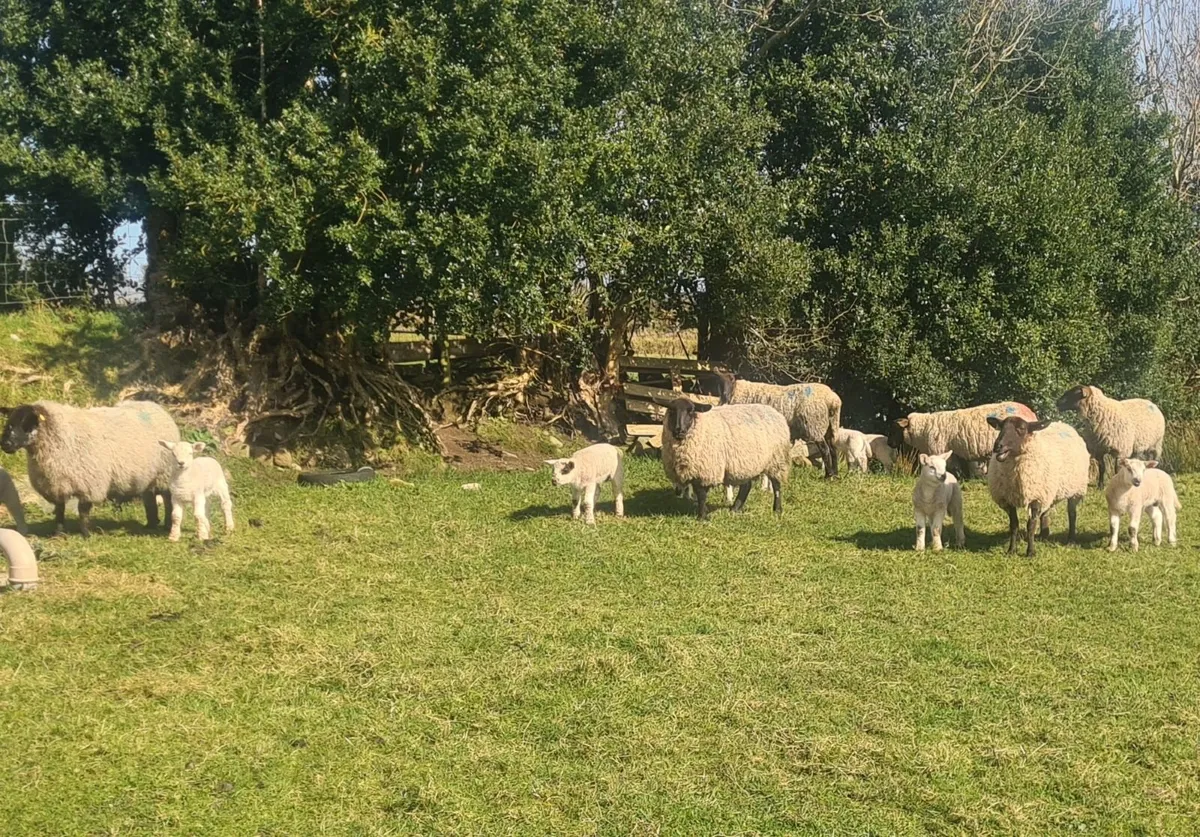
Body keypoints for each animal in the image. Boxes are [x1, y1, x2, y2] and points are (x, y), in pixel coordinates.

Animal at [0, 399, 180, 537]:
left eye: (27, 423)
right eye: (9, 423)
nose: (5, 444)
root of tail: (155, 406)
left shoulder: (89, 484)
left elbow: (83, 511)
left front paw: (86, 534)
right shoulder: (56, 484)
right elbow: (59, 510)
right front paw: (58, 533)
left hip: (165, 473)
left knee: (167, 499)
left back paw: (166, 525)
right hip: (151, 475)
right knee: (150, 498)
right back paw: (151, 524)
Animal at [661, 398, 791, 520]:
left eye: (691, 411)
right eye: (672, 411)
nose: (680, 430)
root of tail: (773, 411)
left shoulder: (706, 470)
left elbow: (701, 494)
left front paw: (702, 517)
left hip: (776, 460)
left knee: (776, 485)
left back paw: (777, 509)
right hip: (745, 462)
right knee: (746, 485)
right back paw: (735, 508)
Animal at [713, 370, 842, 477]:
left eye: (730, 381)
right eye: (720, 384)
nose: (724, 395)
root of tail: (833, 400)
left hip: (815, 425)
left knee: (825, 450)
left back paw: (828, 475)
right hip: (831, 425)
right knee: (833, 448)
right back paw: (835, 474)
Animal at [889, 401, 1038, 475]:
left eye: (894, 429)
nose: (889, 443)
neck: (923, 429)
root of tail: (1031, 413)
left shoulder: (940, 449)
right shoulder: (953, 453)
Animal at [986, 416, 1090, 557]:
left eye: (1021, 428)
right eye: (1001, 427)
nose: (998, 446)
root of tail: (1063, 424)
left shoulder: (1035, 498)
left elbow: (1031, 525)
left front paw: (1030, 552)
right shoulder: (1009, 498)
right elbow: (1014, 525)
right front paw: (1011, 550)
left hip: (1075, 489)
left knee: (1072, 514)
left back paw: (1071, 540)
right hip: (1049, 491)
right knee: (1045, 513)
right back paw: (1043, 535)